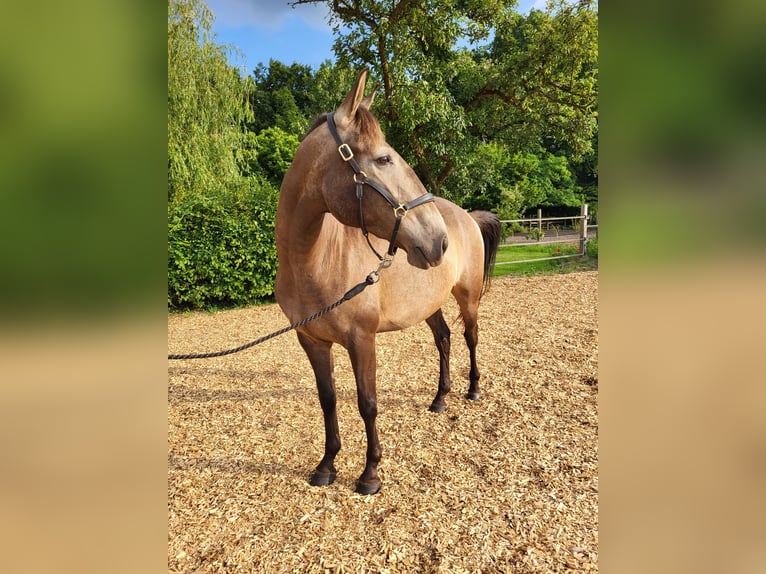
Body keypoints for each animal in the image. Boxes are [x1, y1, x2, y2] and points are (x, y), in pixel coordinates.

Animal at [275, 68, 501, 495]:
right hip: (429, 304)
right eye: (383, 158)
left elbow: (368, 403)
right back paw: (439, 399)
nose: (438, 241)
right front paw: (327, 465)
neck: (314, 261)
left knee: (470, 337)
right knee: (444, 338)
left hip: (468, 298)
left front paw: (370, 473)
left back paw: (473, 389)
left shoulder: (361, 339)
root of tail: (465, 216)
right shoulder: (311, 340)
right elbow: (328, 399)